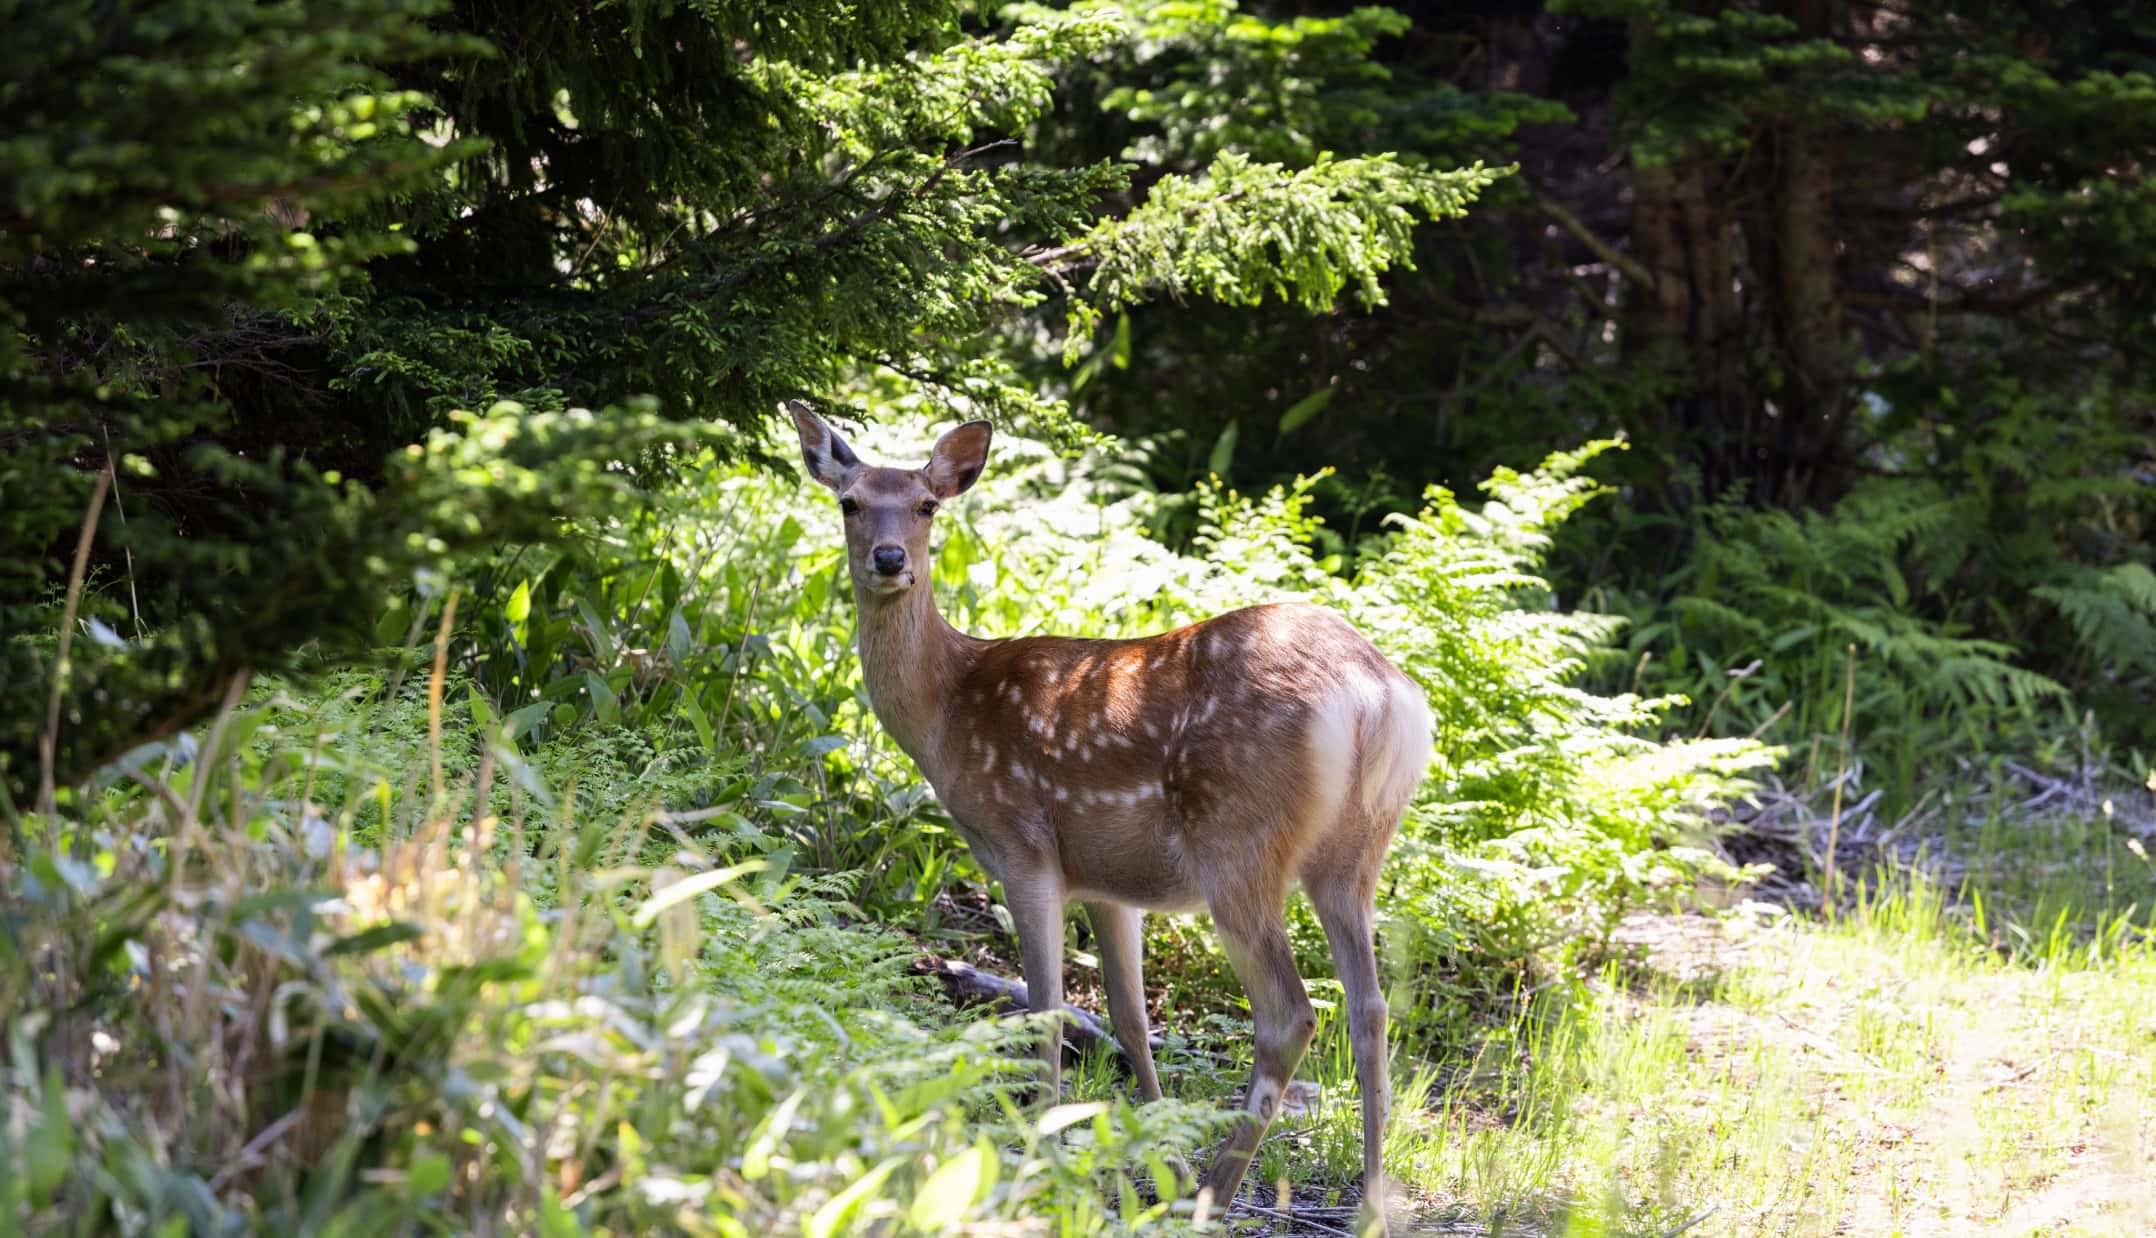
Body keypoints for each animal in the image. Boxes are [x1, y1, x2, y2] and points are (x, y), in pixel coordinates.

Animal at [793, 405, 1431, 1216]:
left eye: (927, 505)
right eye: (850, 502)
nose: (887, 557)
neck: (946, 709)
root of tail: (1377, 697)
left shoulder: (1024, 843)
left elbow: (1047, 1006)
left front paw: (1040, 1152)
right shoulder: (1108, 881)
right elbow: (1129, 1018)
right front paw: (1160, 1154)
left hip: (1239, 844)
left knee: (1291, 1015)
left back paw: (1215, 1197)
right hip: (1356, 853)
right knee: (1372, 1008)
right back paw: (1368, 1206)